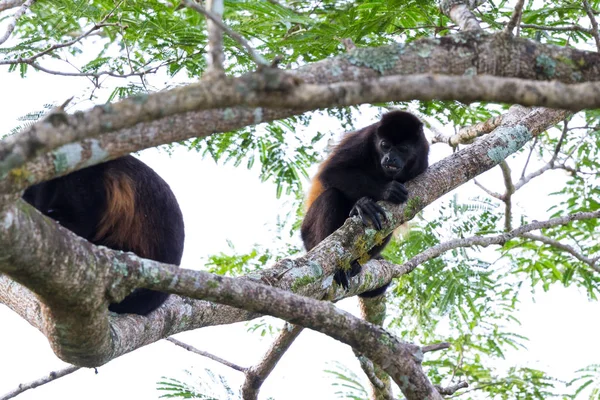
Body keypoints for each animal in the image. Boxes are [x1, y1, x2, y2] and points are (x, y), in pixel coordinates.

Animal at [302, 111, 428, 298]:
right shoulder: (364, 138)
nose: (390, 158)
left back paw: (354, 265)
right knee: (331, 196)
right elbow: (331, 172)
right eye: (385, 145)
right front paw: (379, 194)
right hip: (307, 233)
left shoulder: (422, 159)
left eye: (403, 149)